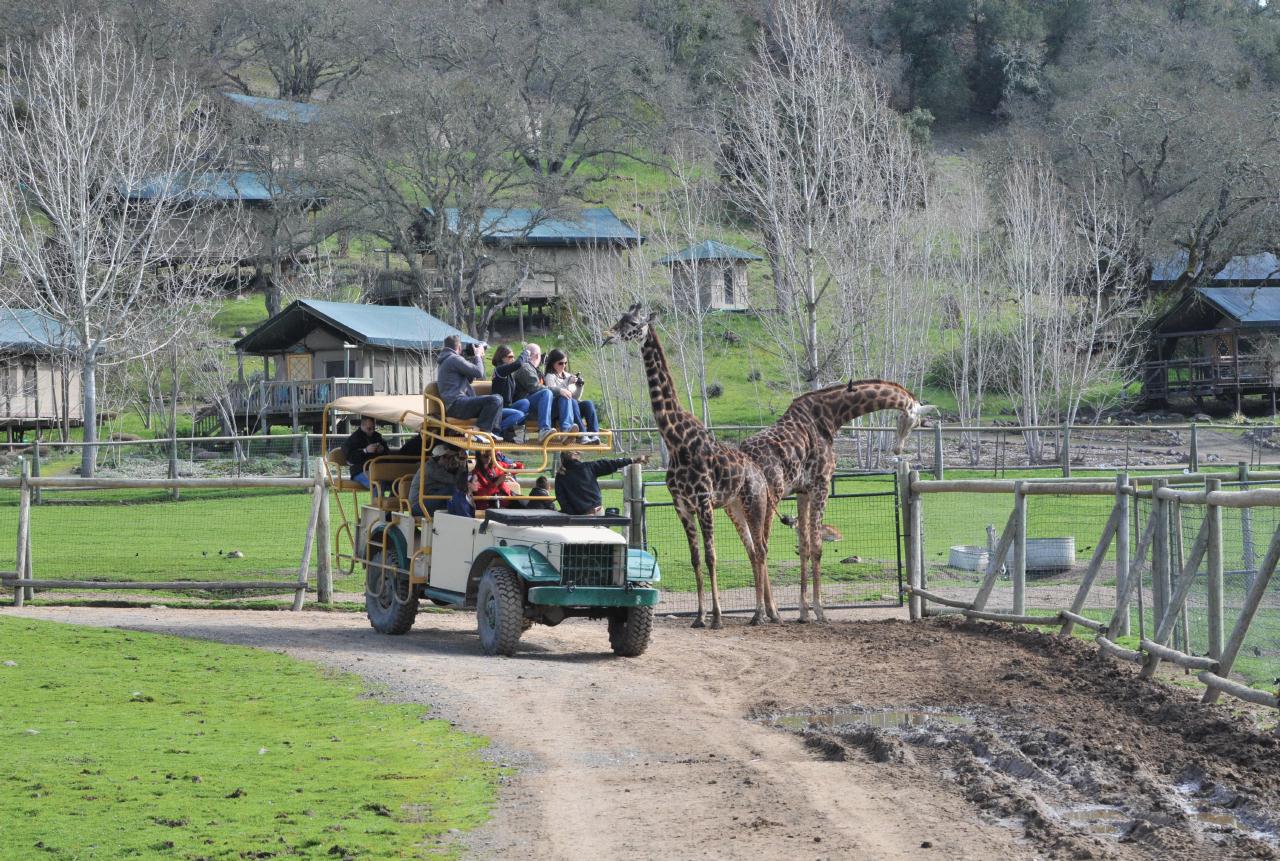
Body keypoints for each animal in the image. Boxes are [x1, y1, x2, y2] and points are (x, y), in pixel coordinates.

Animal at [601, 301, 778, 624]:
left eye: (633, 323)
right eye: (620, 318)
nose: (608, 335)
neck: (676, 440)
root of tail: (759, 473)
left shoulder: (704, 501)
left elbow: (711, 557)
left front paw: (717, 617)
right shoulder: (682, 505)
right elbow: (695, 558)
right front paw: (699, 616)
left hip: (754, 502)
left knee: (760, 549)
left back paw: (761, 613)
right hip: (734, 507)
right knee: (752, 549)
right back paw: (769, 612)